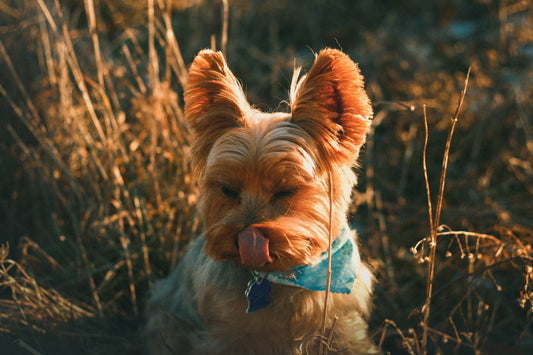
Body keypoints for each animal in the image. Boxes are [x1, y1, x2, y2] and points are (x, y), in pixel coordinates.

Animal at [145, 48, 376, 355]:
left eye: (286, 190)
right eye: (228, 189)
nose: (246, 237)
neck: (283, 275)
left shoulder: (344, 328)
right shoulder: (223, 337)